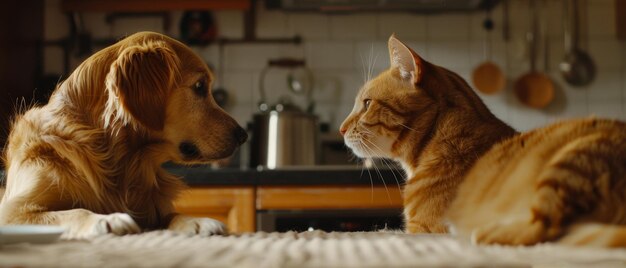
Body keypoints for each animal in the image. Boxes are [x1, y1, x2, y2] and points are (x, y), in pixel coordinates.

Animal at [0, 31, 247, 239]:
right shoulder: (13, 210)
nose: (243, 135)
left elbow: (172, 214)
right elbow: (72, 212)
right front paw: (106, 220)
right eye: (199, 86)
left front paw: (198, 221)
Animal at [342, 35, 624, 247]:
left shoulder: (420, 229)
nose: (341, 130)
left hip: (571, 161)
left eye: (366, 104)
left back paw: (487, 233)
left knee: (546, 229)